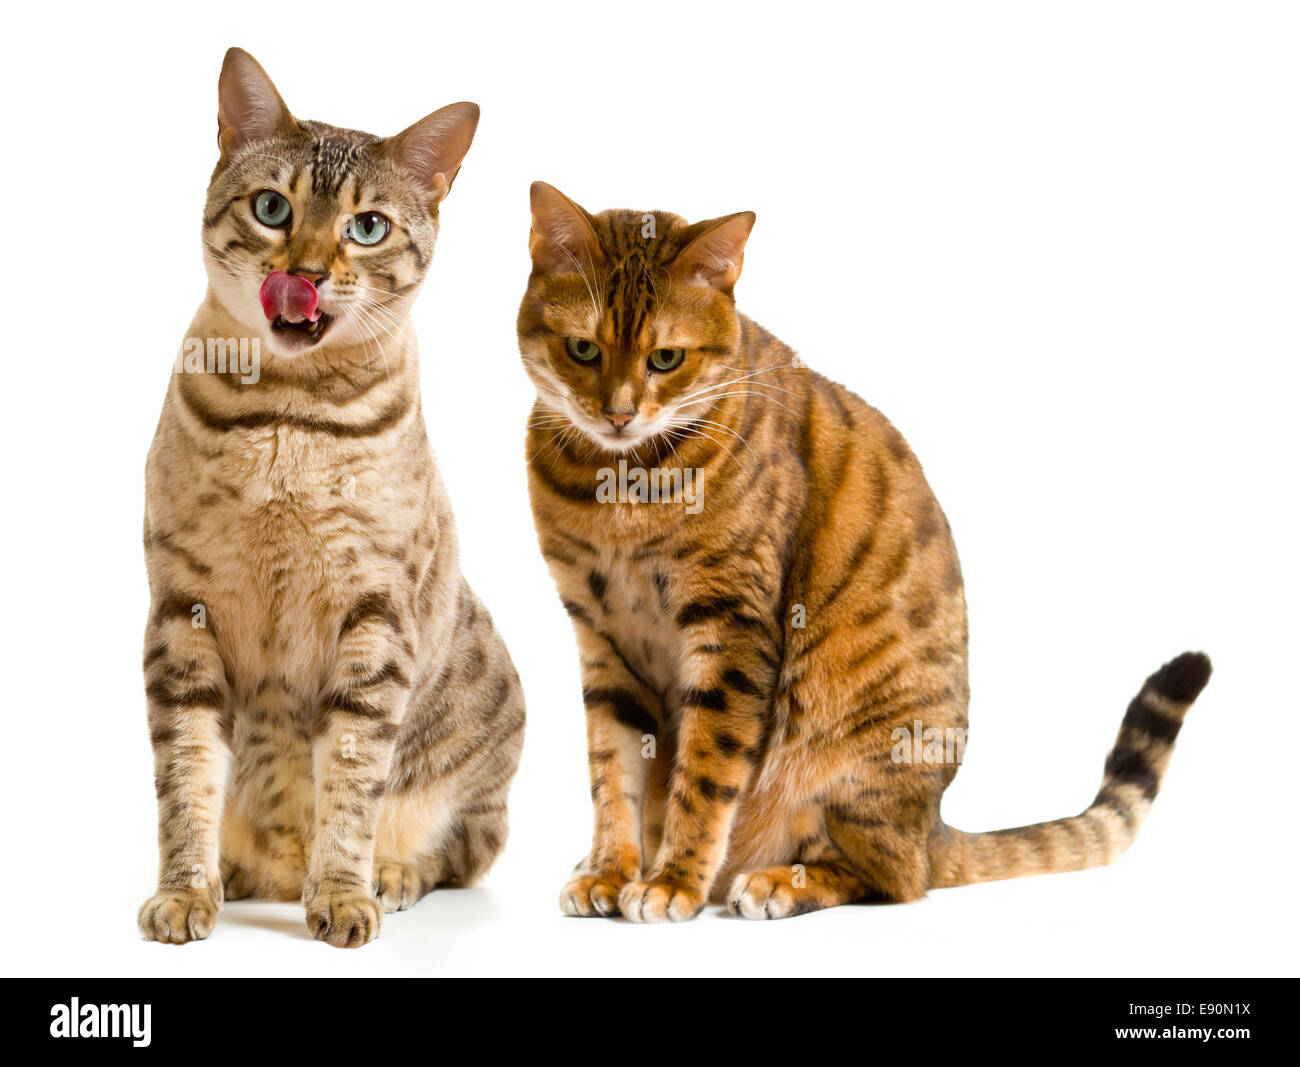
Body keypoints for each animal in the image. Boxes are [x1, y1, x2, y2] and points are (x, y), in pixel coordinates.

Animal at [139, 51, 525, 951]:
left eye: (367, 227)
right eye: (272, 208)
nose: (306, 274)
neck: (290, 412)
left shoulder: (375, 614)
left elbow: (351, 775)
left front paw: (344, 893)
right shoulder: (182, 612)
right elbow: (186, 777)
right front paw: (186, 890)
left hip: (492, 714)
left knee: (465, 847)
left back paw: (390, 874)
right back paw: (240, 871)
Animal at [514, 179, 1206, 920]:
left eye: (665, 358)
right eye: (583, 349)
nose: (618, 413)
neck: (615, 487)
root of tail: (934, 826)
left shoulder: (733, 630)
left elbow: (702, 775)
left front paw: (672, 879)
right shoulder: (602, 640)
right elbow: (613, 772)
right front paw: (611, 870)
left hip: (856, 760)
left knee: (893, 877)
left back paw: (777, 881)